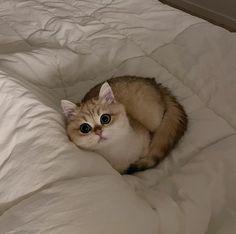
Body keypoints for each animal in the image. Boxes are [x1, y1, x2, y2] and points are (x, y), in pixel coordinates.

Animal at [60, 77, 188, 174]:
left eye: (105, 118)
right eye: (85, 128)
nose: (98, 132)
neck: (116, 150)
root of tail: (154, 83)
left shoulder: (145, 139)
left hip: (154, 119)